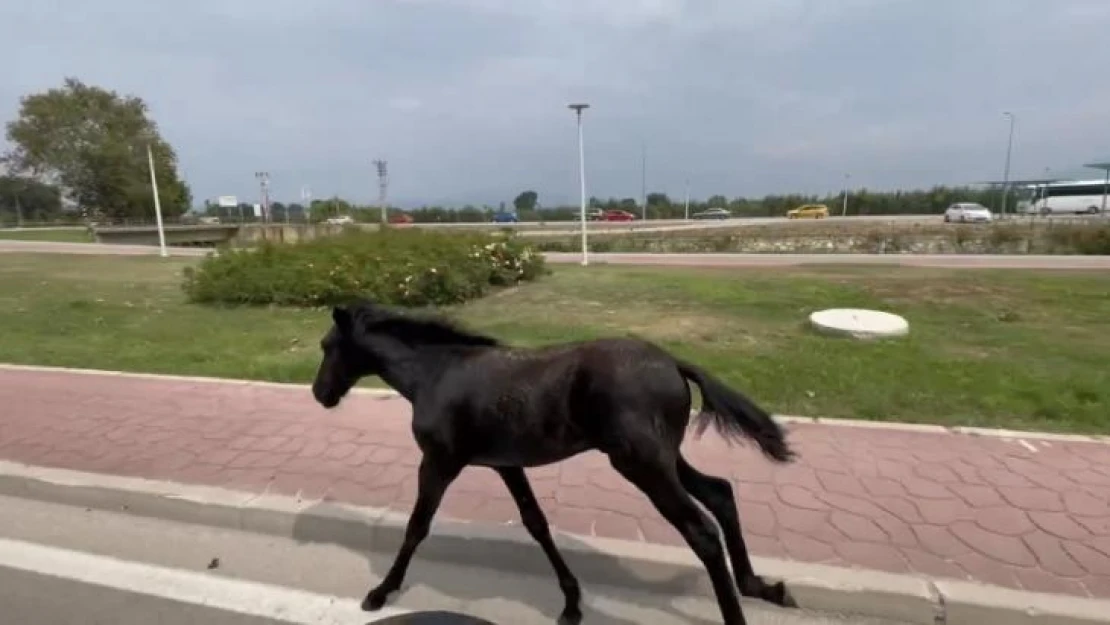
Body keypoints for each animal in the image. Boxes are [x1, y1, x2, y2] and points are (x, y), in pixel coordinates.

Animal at [313, 299, 799, 621]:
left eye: (325, 346)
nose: (320, 394)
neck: (436, 374)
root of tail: (675, 364)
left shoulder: (439, 461)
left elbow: (417, 526)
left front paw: (380, 591)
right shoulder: (506, 463)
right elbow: (536, 523)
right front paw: (570, 602)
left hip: (641, 464)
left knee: (702, 531)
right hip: (662, 458)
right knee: (720, 493)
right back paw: (762, 586)